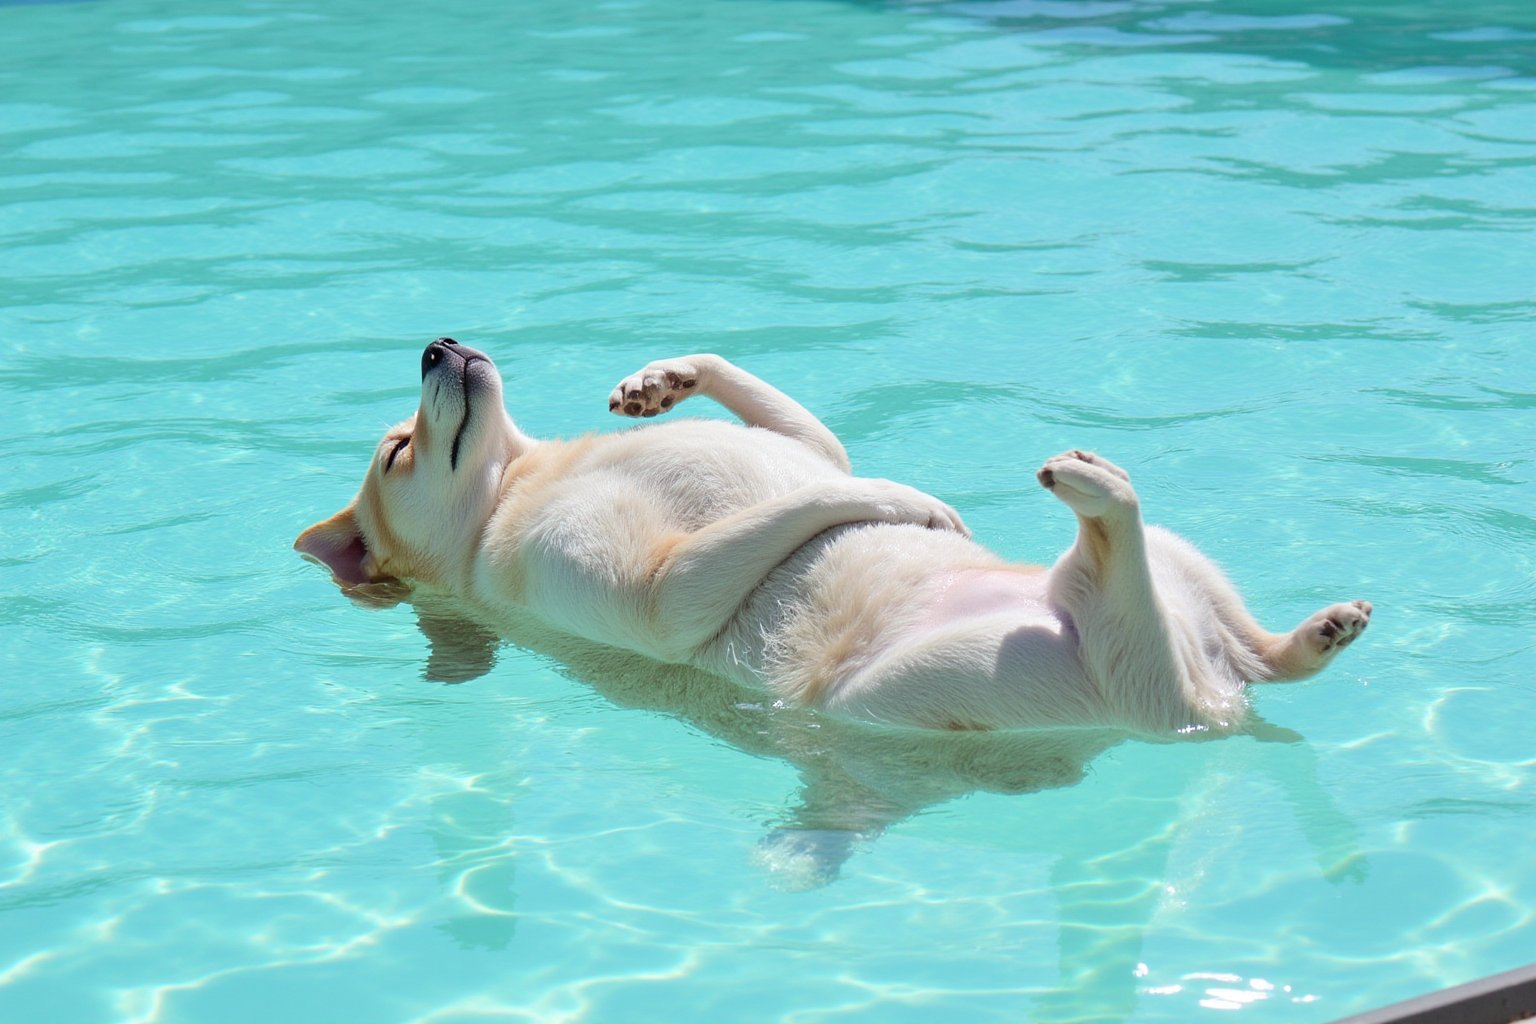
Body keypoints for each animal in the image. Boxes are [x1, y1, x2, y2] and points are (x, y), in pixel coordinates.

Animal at [293, 340, 1376, 733]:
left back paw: (1313, 636)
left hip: (1192, 580)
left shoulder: (807, 444)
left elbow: (802, 436)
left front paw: (663, 379)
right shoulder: (660, 594)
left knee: (1244, 643)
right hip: (932, 682)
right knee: (1129, 599)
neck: (515, 485)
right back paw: (1095, 493)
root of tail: (1215, 706)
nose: (438, 343)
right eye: (398, 450)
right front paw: (910, 499)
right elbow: (820, 501)